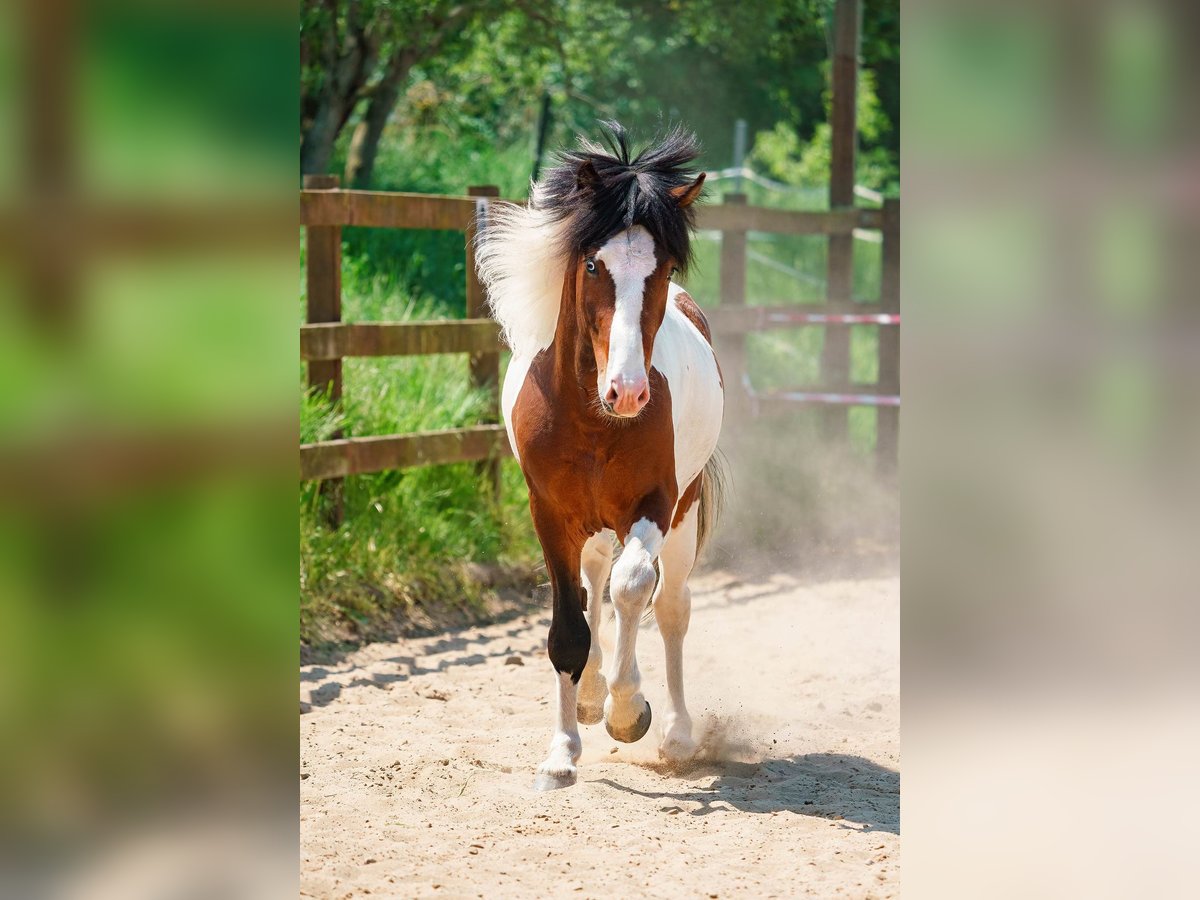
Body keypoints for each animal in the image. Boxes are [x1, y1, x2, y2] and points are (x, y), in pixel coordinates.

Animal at [475, 121, 720, 787]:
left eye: (662, 266)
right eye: (591, 263)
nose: (628, 391)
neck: (591, 419)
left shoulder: (656, 503)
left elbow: (634, 589)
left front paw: (628, 710)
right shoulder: (549, 513)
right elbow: (569, 625)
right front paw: (562, 752)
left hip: (682, 516)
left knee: (668, 607)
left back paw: (676, 733)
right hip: (591, 523)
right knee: (593, 588)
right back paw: (587, 697)